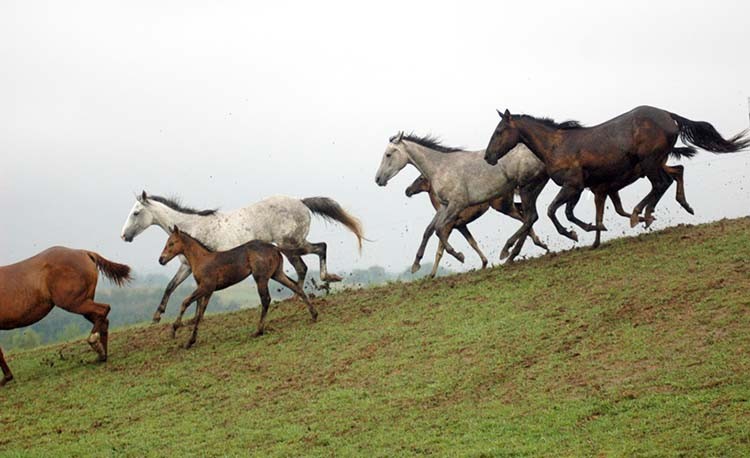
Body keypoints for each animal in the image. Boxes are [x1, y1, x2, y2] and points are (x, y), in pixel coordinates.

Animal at [0, 247, 131, 386]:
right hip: (83, 303)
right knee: (103, 319)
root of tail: (84, 252)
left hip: (74, 303)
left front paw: (6, 378)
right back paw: (102, 355)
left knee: (103, 310)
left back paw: (94, 343)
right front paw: (7, 377)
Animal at [121, 192, 363, 323]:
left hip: (290, 245)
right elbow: (170, 286)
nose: (124, 236)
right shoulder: (187, 267)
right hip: (290, 246)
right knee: (307, 262)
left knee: (316, 253)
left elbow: (195, 294)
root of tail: (301, 202)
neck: (191, 229)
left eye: (136, 213)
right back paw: (305, 292)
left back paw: (318, 284)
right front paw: (157, 316)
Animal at [158, 226, 316, 348]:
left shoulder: (206, 287)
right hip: (276, 274)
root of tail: (274, 247)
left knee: (266, 299)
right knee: (296, 287)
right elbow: (199, 314)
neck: (201, 259)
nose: (161, 260)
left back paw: (259, 331)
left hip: (261, 278)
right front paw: (190, 341)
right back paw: (314, 314)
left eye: (171, 243)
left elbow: (185, 302)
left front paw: (174, 329)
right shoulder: (208, 291)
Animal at [404, 174, 549, 277]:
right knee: (524, 213)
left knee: (524, 217)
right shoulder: (460, 226)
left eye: (420, 178)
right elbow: (470, 243)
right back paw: (539, 244)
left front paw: (462, 258)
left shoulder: (449, 227)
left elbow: (442, 248)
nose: (408, 190)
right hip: (507, 205)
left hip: (503, 206)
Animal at [485, 107, 750, 246]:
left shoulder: (573, 185)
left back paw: (641, 214)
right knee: (676, 173)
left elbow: (552, 211)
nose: (488, 157)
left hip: (650, 162)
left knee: (661, 184)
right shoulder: (581, 188)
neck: (555, 146)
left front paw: (574, 233)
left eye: (499, 131)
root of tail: (668, 114)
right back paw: (679, 206)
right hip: (656, 162)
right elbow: (569, 213)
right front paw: (591, 228)